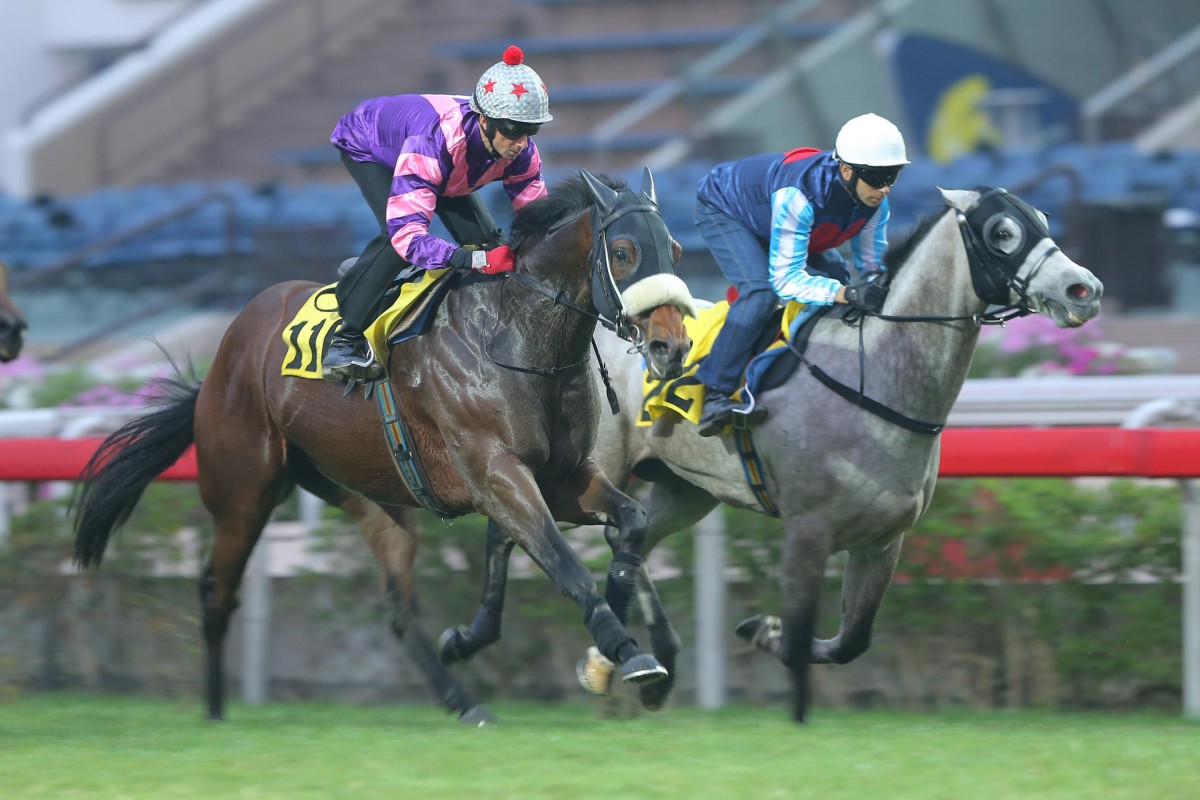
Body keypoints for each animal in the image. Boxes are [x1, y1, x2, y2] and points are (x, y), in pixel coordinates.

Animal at [70, 170, 696, 724]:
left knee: (396, 604)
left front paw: (611, 641)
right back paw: (215, 712)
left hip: (367, 491)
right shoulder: (498, 475)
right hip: (243, 492)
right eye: (622, 251)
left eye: (675, 249)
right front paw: (626, 652)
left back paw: (463, 702)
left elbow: (631, 523)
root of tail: (225, 353)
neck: (512, 334)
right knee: (215, 589)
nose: (671, 346)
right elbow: (564, 565)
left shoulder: (562, 477)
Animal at [436, 189, 1099, 724]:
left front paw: (761, 630)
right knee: (516, 530)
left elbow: (852, 639)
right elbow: (804, 638)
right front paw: (782, 670)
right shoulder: (808, 530)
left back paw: (634, 663)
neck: (877, 377)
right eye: (1003, 232)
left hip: (684, 489)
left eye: (1042, 219)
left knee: (630, 539)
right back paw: (479, 639)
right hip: (580, 468)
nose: (1084, 290)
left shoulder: (883, 540)